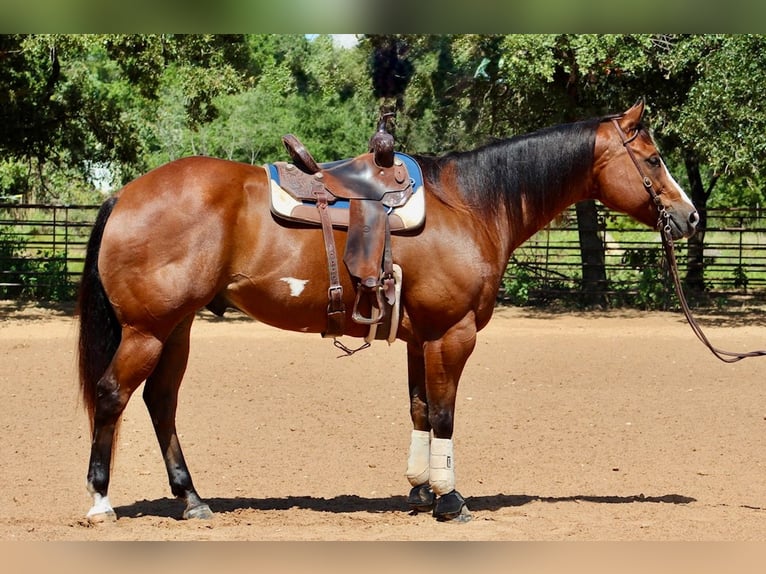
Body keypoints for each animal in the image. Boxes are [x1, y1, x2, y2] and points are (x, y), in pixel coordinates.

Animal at [76, 100, 698, 523]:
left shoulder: (421, 338)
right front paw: (451, 500)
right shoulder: (453, 334)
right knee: (112, 395)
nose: (690, 217)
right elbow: (445, 415)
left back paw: (192, 499)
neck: (468, 203)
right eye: (653, 158)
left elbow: (420, 410)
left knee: (160, 403)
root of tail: (124, 194)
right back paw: (102, 502)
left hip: (175, 330)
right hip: (148, 330)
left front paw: (420, 490)